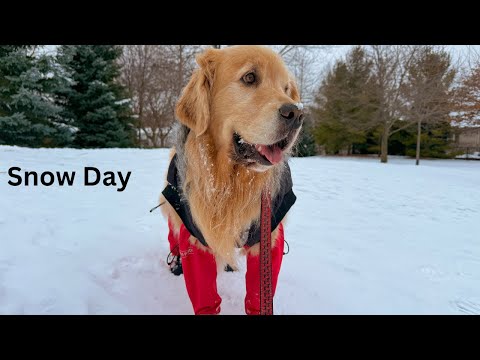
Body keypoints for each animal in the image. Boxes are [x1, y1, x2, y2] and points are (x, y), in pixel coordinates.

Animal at [160, 45, 304, 316]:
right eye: (249, 77)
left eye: (286, 88)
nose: (297, 113)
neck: (230, 181)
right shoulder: (195, 237)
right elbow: (205, 295)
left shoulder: (269, 238)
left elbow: (259, 295)